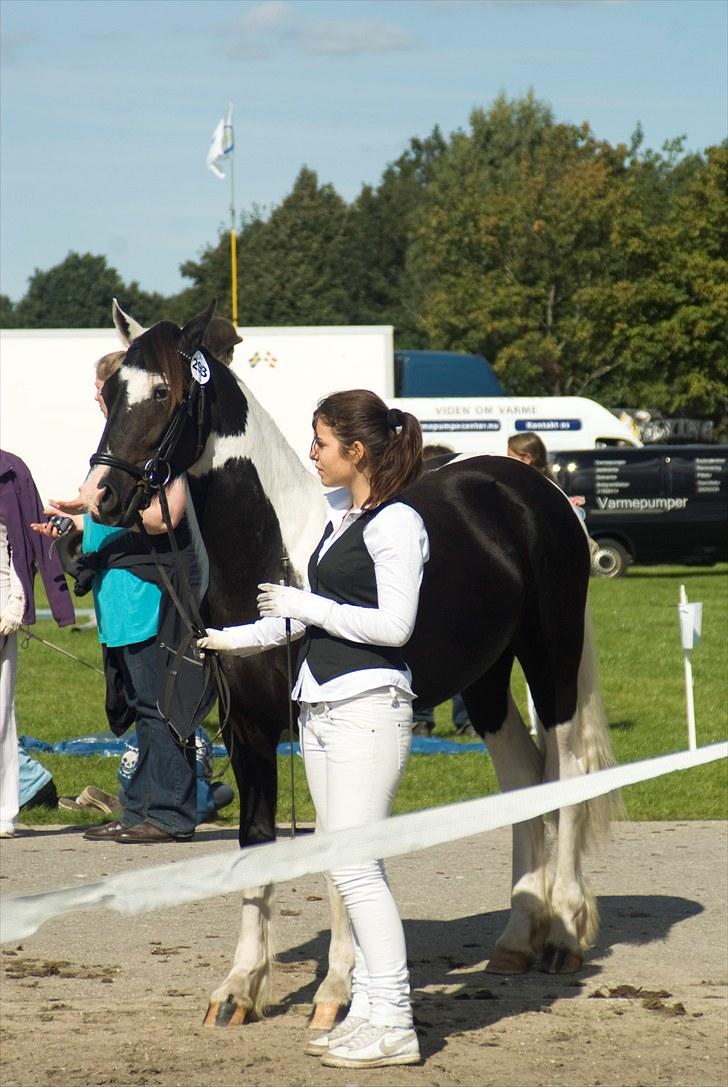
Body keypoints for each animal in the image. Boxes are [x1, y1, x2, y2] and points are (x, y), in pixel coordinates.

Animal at [84, 304, 621, 1026]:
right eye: (114, 392)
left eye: (165, 392)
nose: (101, 493)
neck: (276, 558)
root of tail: (538, 489)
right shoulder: (247, 732)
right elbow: (255, 844)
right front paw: (240, 987)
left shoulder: (323, 728)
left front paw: (336, 990)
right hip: (484, 675)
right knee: (523, 775)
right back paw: (516, 936)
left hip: (551, 656)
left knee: (570, 771)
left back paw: (563, 930)